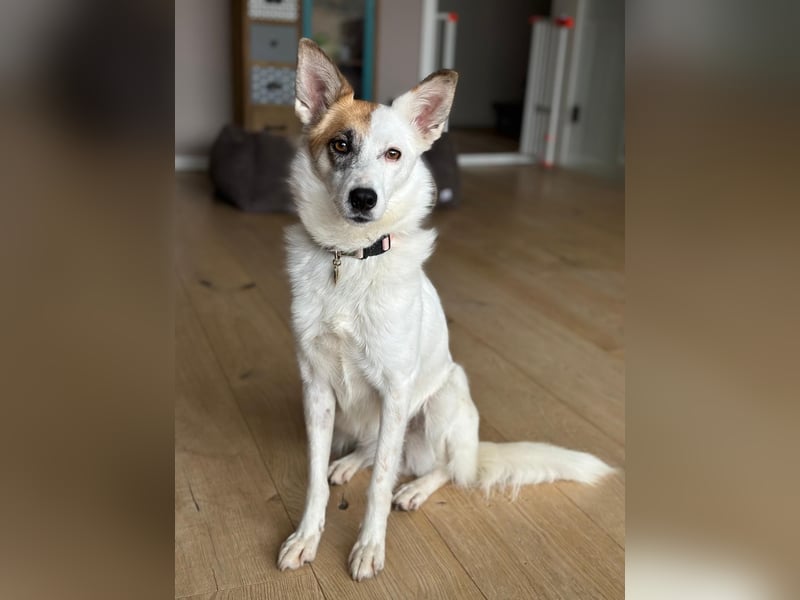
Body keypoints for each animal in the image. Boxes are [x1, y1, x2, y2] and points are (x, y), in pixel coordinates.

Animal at [278, 38, 613, 581]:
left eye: (394, 154)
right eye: (340, 145)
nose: (364, 198)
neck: (353, 259)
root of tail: (475, 449)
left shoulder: (396, 390)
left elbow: (380, 485)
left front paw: (369, 548)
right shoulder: (317, 389)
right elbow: (314, 479)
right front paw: (307, 537)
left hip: (440, 399)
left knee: (443, 470)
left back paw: (415, 488)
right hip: (361, 418)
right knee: (377, 450)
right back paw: (349, 463)